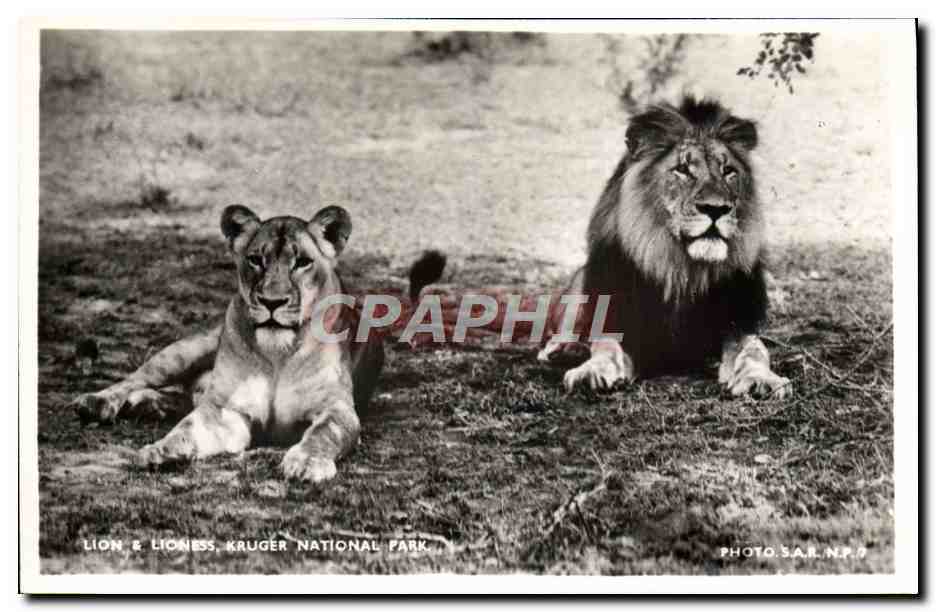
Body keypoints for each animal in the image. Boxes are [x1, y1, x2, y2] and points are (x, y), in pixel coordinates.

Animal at [70, 205, 444, 482]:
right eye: (255, 259)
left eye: (302, 262)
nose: (272, 302)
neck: (278, 353)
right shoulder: (225, 411)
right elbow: (187, 427)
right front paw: (161, 449)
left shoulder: (338, 409)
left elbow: (324, 433)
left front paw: (306, 462)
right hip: (185, 352)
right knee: (139, 379)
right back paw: (98, 402)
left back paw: (149, 406)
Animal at [538, 96, 791, 398]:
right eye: (682, 170)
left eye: (728, 171)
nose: (716, 209)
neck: (682, 269)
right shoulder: (621, 322)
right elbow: (605, 346)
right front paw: (590, 372)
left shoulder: (739, 325)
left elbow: (754, 351)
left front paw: (762, 379)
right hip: (582, 282)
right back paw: (566, 349)